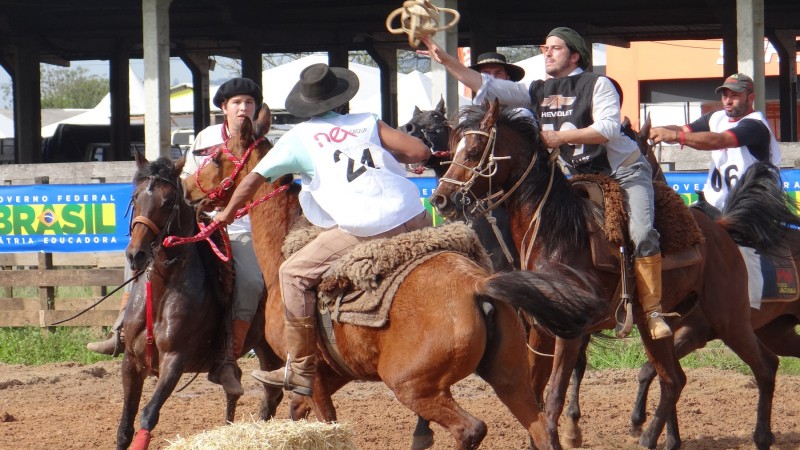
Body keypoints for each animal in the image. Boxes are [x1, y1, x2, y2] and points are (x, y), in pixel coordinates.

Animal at [117, 153, 282, 448]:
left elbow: (148, 414)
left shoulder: (175, 359)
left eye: (168, 201)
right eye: (135, 198)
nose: (136, 254)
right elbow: (125, 426)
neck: (161, 291)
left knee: (275, 393)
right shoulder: (132, 361)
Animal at [181, 106, 608, 450]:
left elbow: (324, 417)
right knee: (540, 427)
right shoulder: (332, 375)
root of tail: (478, 286)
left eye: (214, 155)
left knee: (471, 429)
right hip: (510, 376)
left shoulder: (314, 378)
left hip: (413, 385)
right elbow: (297, 413)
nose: (187, 191)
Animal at [432, 102, 792, 450]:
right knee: (674, 380)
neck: (556, 234)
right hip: (657, 328)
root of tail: (719, 230)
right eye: (453, 149)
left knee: (764, 366)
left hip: (729, 317)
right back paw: (651, 438)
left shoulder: (571, 333)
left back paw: (760, 436)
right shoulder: (540, 331)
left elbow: (554, 395)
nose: (440, 198)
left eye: (474, 150)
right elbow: (533, 394)